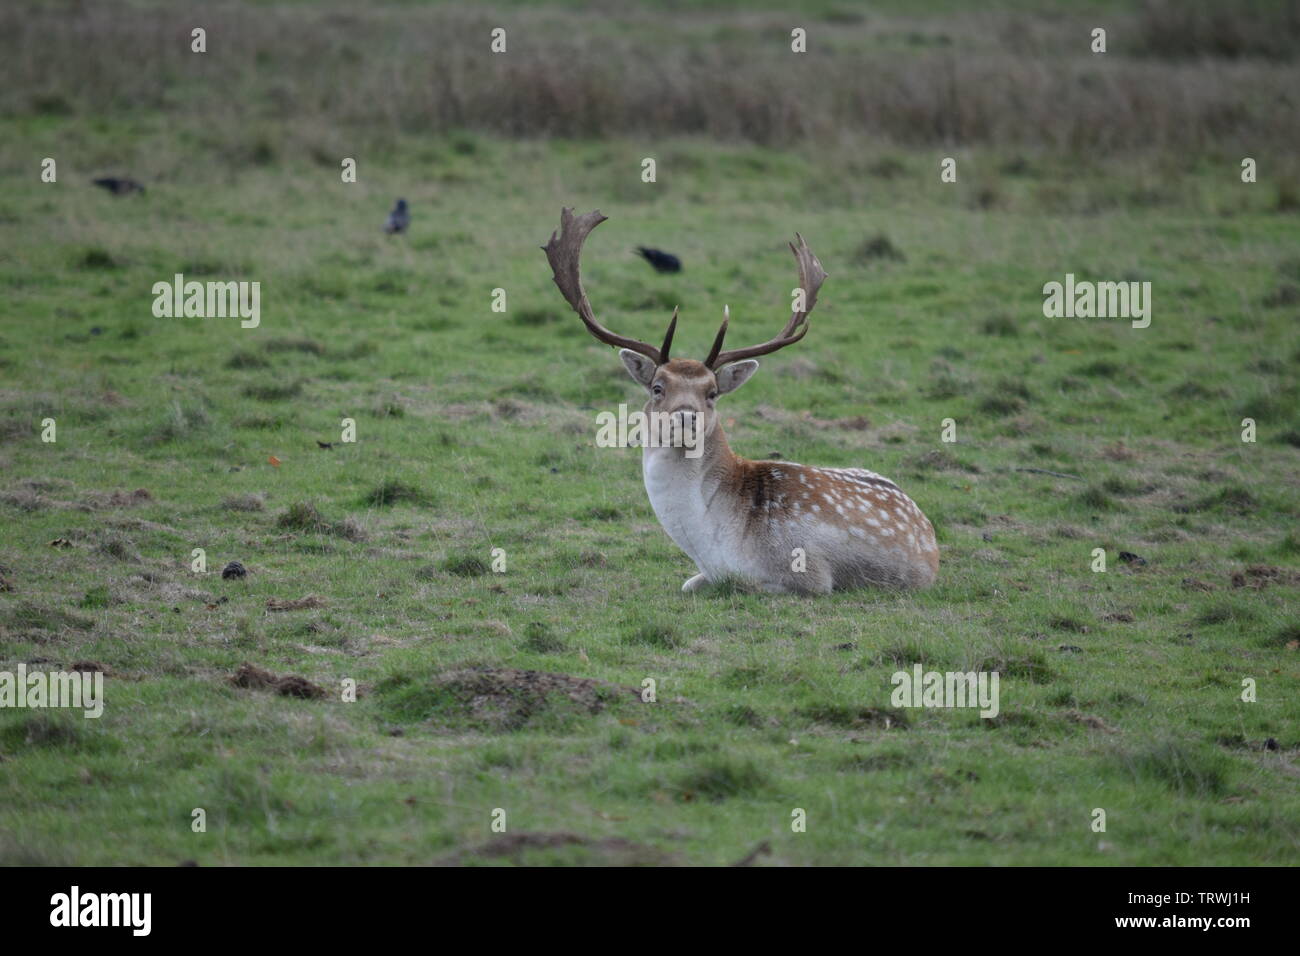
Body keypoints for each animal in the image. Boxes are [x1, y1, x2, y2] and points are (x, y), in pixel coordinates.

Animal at [543, 209, 941, 595]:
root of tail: (929, 529)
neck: (710, 544)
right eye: (657, 387)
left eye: (712, 393)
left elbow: (742, 582)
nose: (685, 416)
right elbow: (690, 583)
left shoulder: (809, 572)